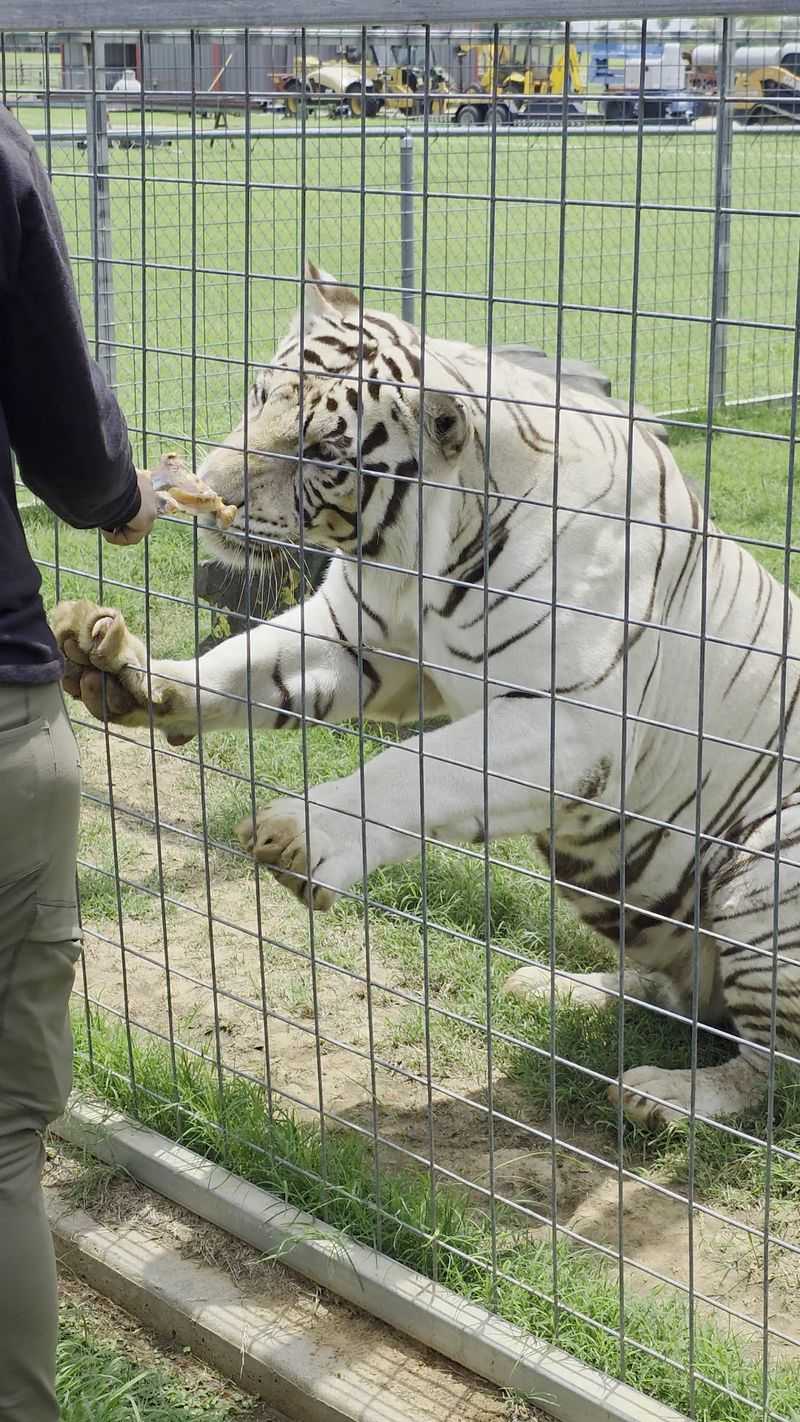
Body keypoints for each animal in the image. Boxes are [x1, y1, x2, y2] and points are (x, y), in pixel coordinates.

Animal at [53, 261, 800, 1130]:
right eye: (258, 394)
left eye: (319, 449)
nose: (208, 493)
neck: (420, 555)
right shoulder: (354, 642)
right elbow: (240, 664)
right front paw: (131, 673)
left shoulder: (571, 725)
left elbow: (419, 771)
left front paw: (304, 834)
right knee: (680, 996)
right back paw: (560, 987)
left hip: (766, 870)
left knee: (771, 1071)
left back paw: (669, 1095)